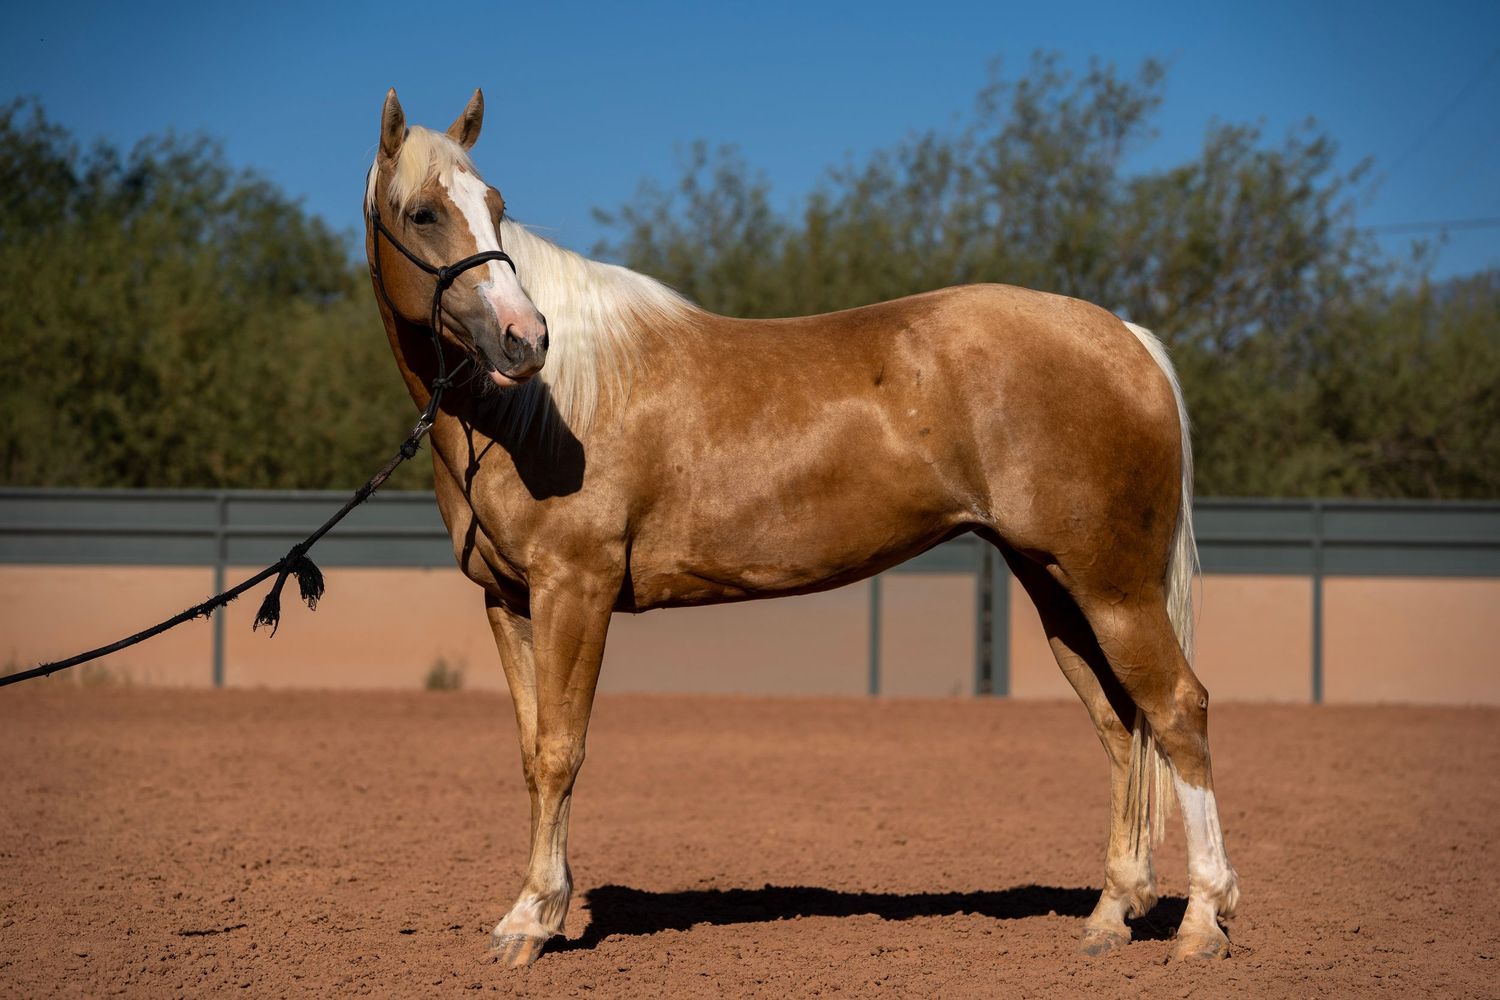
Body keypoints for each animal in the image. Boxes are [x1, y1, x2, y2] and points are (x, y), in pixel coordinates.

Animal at [363, 87, 1239, 968]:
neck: (541, 409)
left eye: (495, 207)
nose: (524, 339)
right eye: (423, 212)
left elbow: (559, 752)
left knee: (1177, 709)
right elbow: (530, 751)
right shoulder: (510, 601)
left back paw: (1201, 921)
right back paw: (1112, 913)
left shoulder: (574, 589)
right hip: (1058, 587)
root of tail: (1127, 340)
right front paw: (531, 911)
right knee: (1120, 726)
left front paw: (531, 920)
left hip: (1114, 587)